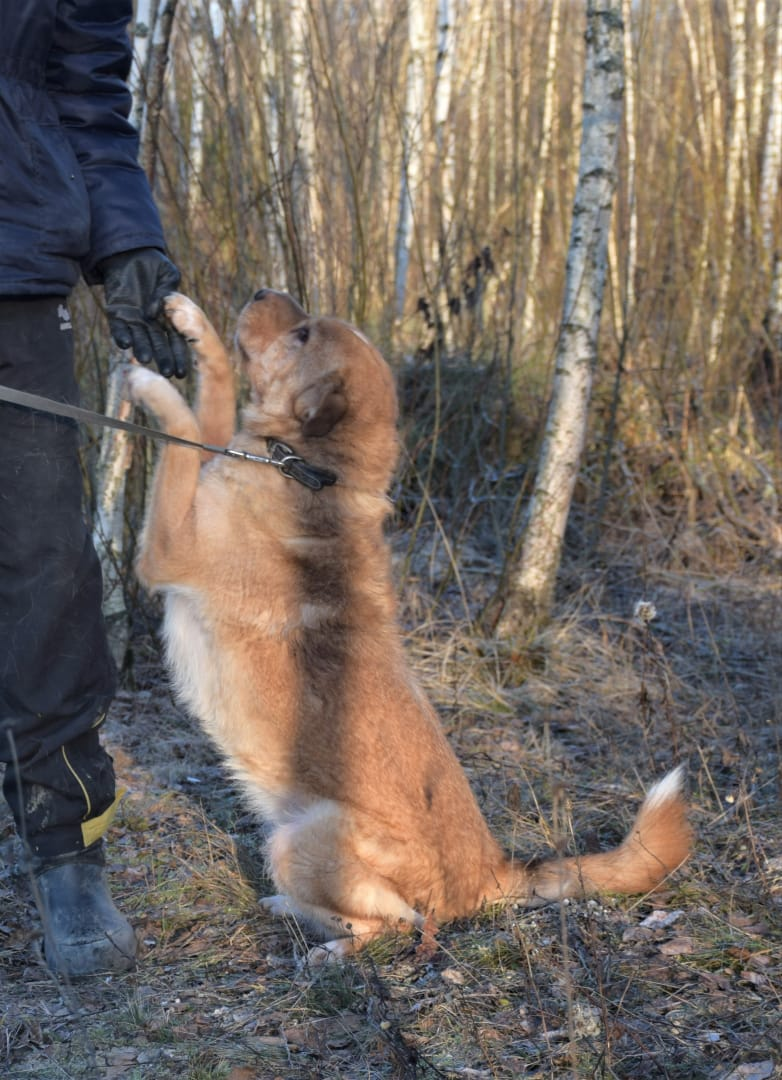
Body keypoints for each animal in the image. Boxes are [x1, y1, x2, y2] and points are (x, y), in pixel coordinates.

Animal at [126, 289, 691, 963]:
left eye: (303, 335)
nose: (263, 293)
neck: (318, 473)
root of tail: (493, 871)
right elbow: (210, 399)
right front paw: (192, 327)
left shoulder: (165, 551)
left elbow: (183, 432)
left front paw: (150, 386)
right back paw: (290, 909)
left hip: (299, 838)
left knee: (398, 926)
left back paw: (329, 949)